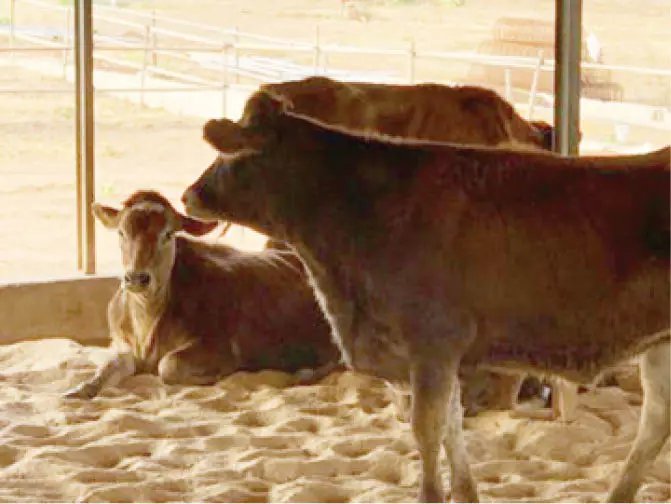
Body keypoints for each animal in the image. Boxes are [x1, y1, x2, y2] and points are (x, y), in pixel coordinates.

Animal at [63, 190, 340, 400]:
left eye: (168, 234)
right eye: (121, 233)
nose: (136, 278)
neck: (148, 320)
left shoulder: (218, 348)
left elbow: (168, 365)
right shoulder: (120, 342)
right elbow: (110, 365)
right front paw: (83, 388)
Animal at [182, 91, 670, 503]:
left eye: (231, 151)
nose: (188, 194)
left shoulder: (432, 344)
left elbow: (427, 429)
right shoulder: (439, 355)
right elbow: (451, 425)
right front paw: (466, 493)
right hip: (660, 347)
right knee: (655, 422)